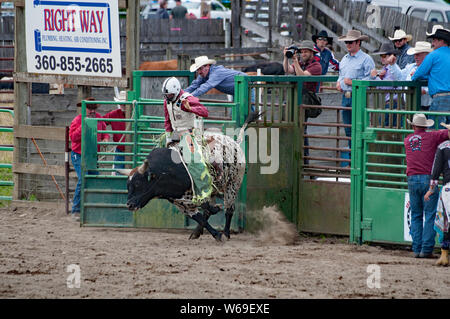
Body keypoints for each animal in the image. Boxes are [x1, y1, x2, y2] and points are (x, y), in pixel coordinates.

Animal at [120, 112, 260, 242]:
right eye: (128, 186)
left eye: (138, 184)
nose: (129, 205)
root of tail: (235, 144)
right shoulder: (181, 202)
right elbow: (201, 218)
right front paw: (214, 233)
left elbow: (207, 210)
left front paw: (219, 232)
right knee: (210, 212)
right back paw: (198, 232)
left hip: (233, 184)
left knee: (229, 209)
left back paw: (226, 233)